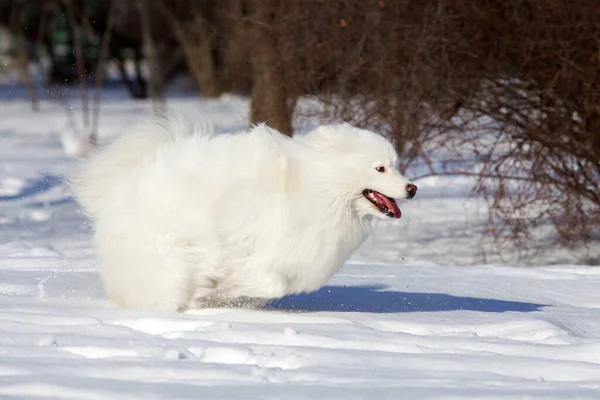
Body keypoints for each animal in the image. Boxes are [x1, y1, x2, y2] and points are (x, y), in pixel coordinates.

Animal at [68, 117, 418, 310]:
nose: (412, 188)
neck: (317, 187)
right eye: (380, 168)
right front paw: (220, 290)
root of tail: (124, 182)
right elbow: (264, 282)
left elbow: (271, 286)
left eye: (396, 165)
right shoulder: (260, 246)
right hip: (166, 261)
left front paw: (224, 295)